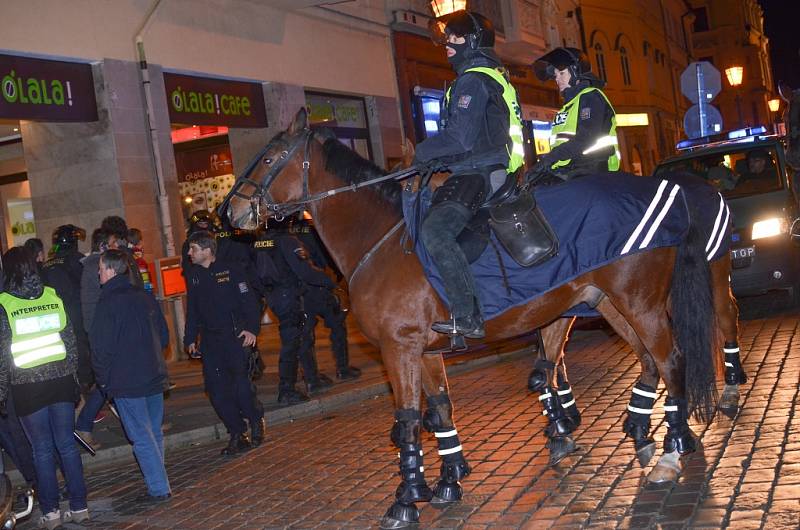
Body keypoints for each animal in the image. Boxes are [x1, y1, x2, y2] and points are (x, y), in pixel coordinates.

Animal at [223, 109, 720, 524]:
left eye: (269, 157)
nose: (228, 210)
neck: (380, 240)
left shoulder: (399, 347)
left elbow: (407, 421)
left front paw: (406, 500)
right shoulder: (424, 351)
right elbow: (440, 412)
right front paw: (445, 481)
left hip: (639, 304)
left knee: (671, 359)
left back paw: (674, 447)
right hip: (611, 305)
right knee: (648, 360)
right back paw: (640, 430)